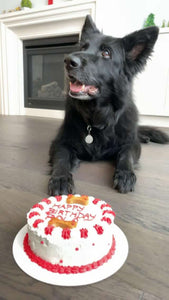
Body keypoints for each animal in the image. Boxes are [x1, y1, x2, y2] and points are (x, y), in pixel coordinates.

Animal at [47, 15, 169, 196]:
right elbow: (62, 158)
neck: (97, 116)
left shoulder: (130, 144)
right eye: (83, 47)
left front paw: (125, 174)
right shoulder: (60, 142)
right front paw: (61, 178)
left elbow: (126, 154)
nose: (68, 60)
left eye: (106, 53)